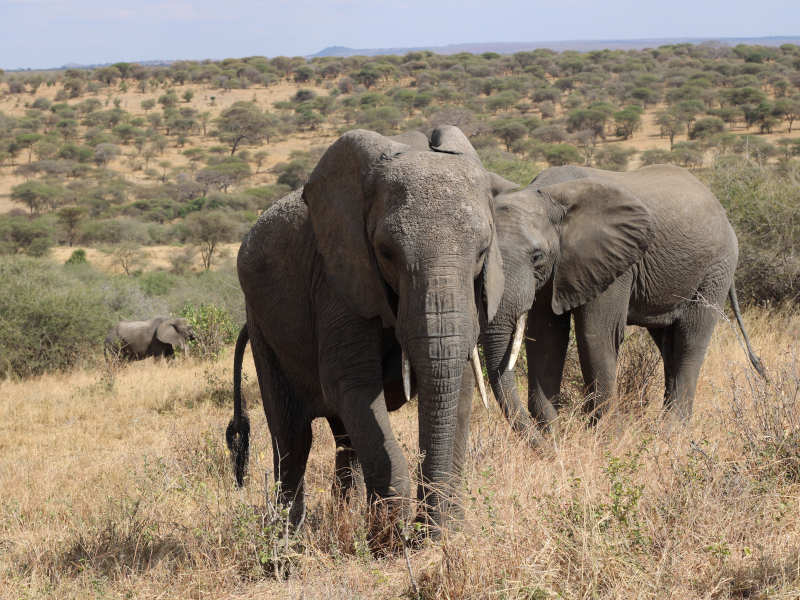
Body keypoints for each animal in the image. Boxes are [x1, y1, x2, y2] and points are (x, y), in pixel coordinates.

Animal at [223, 129, 506, 532]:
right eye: (386, 253)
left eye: (482, 251)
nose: (421, 530)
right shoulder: (337, 278)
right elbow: (352, 384)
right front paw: (391, 535)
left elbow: (462, 385)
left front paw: (444, 533)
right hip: (263, 324)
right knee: (293, 436)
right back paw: (285, 540)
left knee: (344, 437)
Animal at [478, 163, 764, 432]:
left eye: (537, 256)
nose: (541, 444)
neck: (548, 195)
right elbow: (545, 337)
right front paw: (553, 436)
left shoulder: (614, 263)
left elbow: (596, 334)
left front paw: (604, 438)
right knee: (668, 343)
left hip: (716, 268)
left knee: (690, 338)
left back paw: (671, 433)